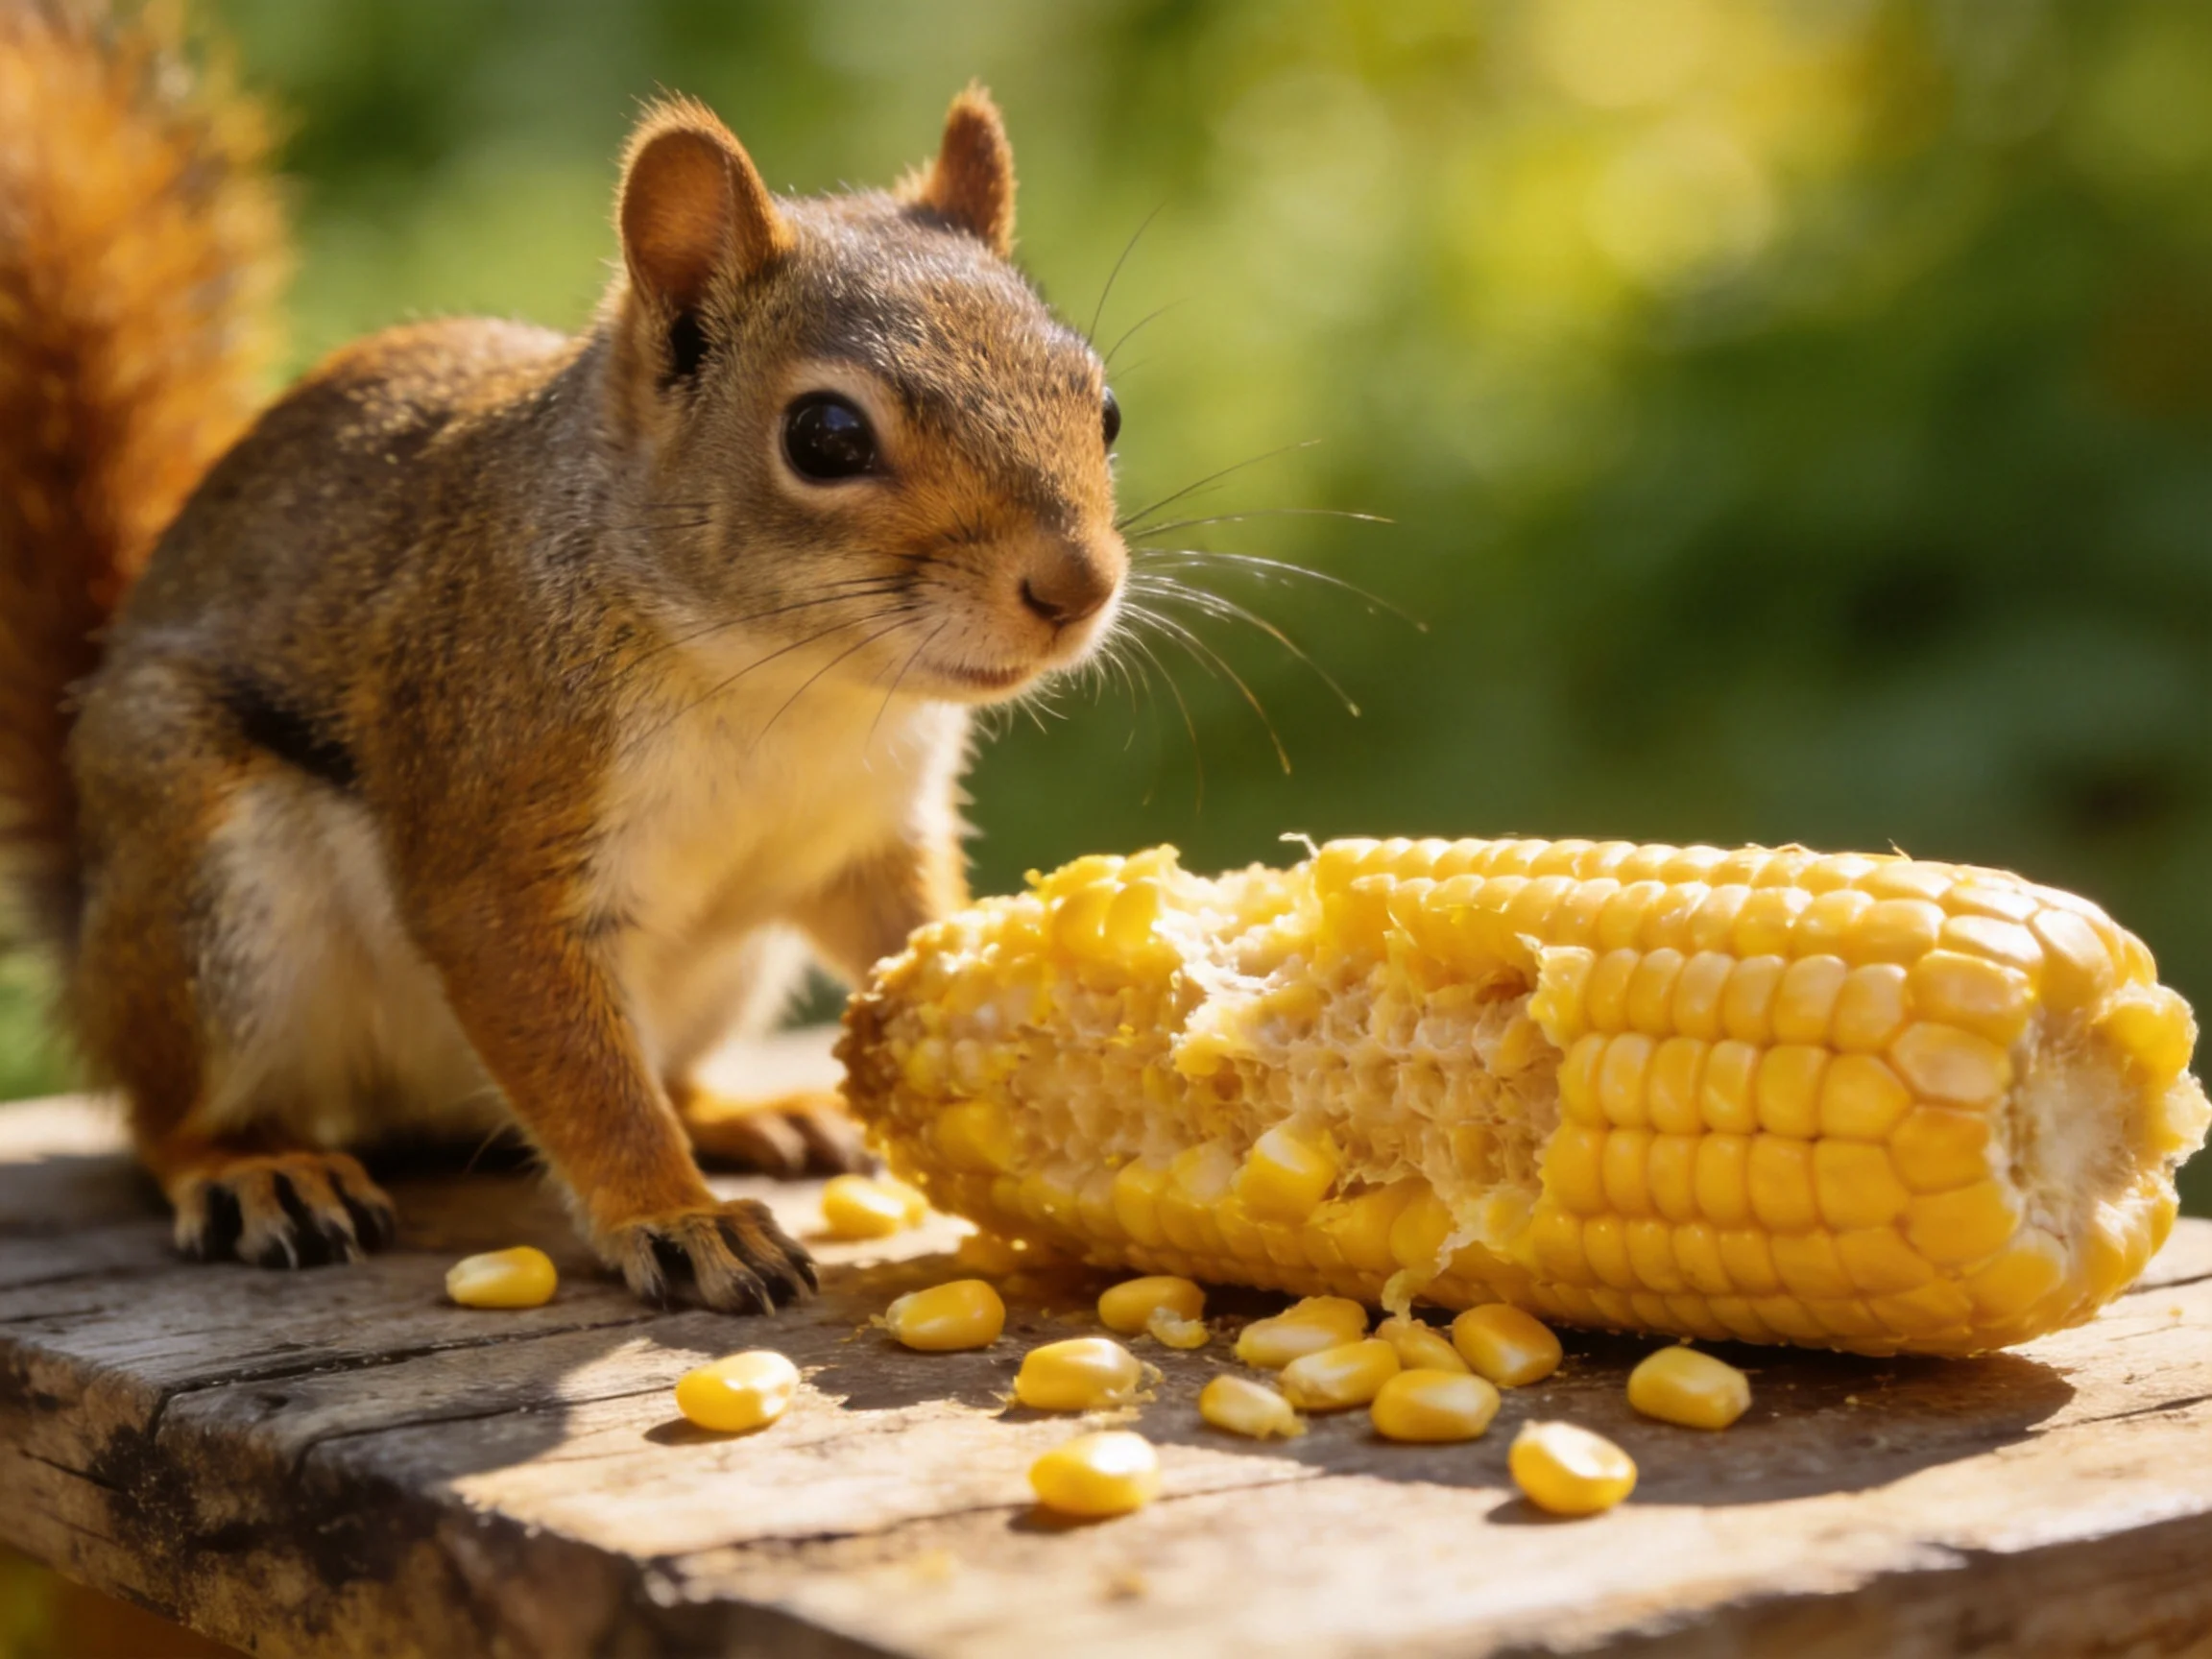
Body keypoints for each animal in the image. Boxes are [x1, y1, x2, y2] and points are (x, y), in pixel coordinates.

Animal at [0, 5, 1126, 1311]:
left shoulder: (867, 838)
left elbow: (911, 937)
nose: (1075, 588)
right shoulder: (494, 801)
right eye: (826, 437)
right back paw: (251, 1168)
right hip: (200, 875)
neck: (790, 684)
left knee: (661, 1070)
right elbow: (573, 1057)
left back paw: (752, 1114)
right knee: (161, 1112)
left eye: (1102, 405)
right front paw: (678, 1218)